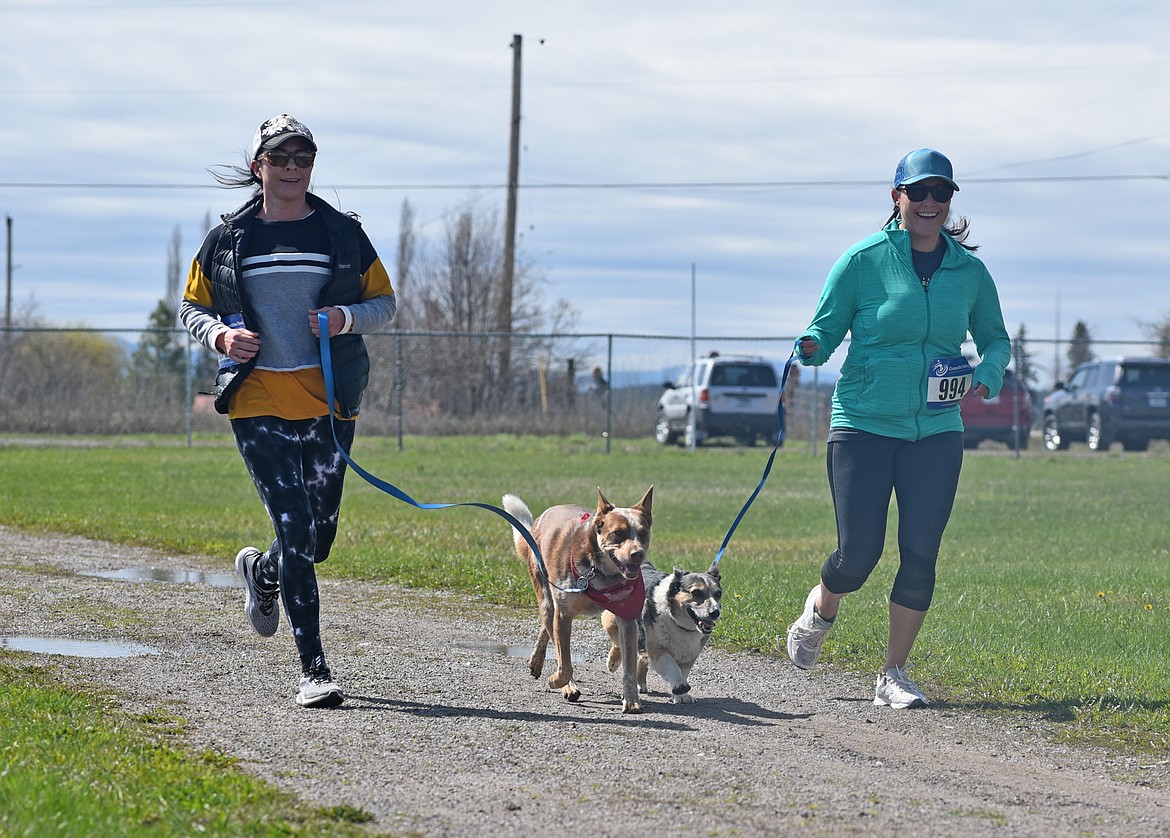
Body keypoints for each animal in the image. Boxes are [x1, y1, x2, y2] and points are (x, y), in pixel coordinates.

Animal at [500, 486, 655, 716]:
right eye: (618, 533)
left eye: (643, 534)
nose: (638, 554)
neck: (600, 573)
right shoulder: (564, 615)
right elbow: (564, 663)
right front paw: (558, 682)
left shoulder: (626, 615)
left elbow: (628, 664)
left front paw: (632, 701)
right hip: (545, 594)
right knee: (552, 631)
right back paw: (564, 683)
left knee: (546, 629)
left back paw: (536, 661)